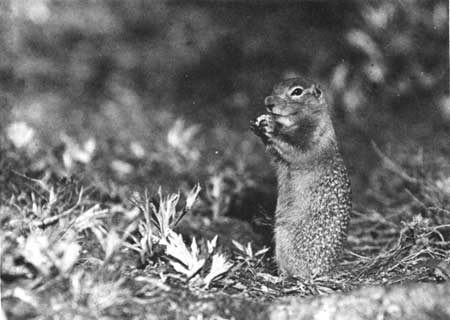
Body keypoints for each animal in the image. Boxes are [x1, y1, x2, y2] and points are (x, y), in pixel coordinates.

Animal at [250, 77, 352, 278]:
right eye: (275, 86)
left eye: (297, 91)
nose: (268, 102)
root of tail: (326, 270)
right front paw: (260, 121)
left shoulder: (312, 136)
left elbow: (294, 147)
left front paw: (270, 127)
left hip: (285, 238)